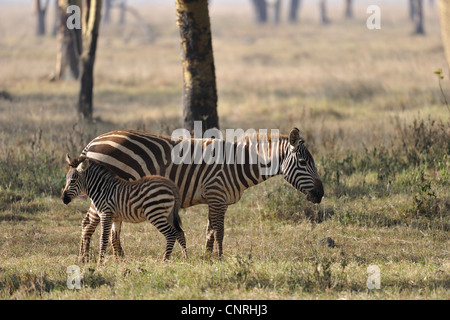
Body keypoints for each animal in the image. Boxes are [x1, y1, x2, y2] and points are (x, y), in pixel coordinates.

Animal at [77, 127, 324, 258]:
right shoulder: (217, 195)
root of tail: (92, 142)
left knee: (110, 226)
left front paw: (206, 258)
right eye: (303, 162)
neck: (238, 164)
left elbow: (210, 231)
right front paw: (220, 258)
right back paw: (85, 259)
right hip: (103, 190)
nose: (321, 194)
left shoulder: (215, 199)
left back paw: (118, 259)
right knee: (88, 222)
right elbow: (219, 231)